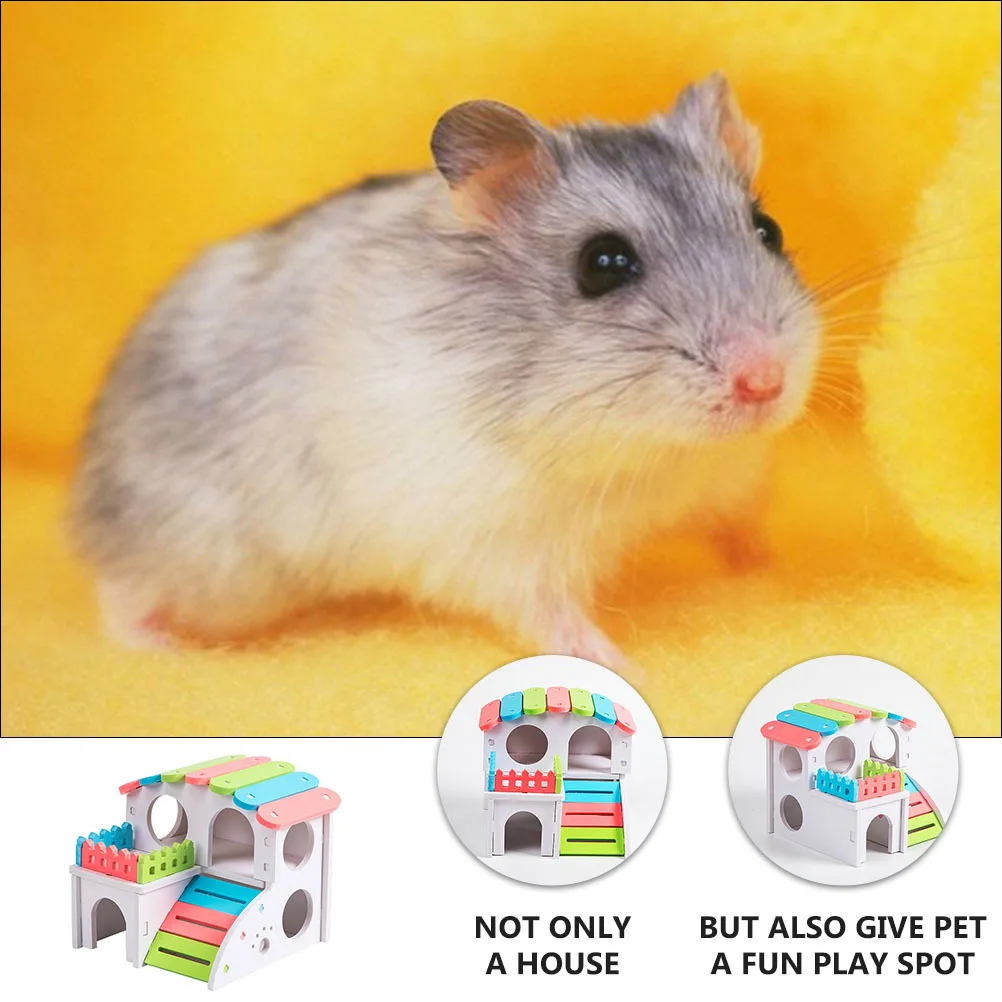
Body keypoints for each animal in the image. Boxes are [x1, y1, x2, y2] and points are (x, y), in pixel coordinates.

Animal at [70, 72, 820, 666]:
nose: (765, 382)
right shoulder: (500, 543)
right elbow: (551, 615)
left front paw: (772, 568)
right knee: (119, 588)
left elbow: (739, 526)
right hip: (207, 560)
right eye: (602, 264)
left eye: (770, 230)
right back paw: (158, 647)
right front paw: (628, 666)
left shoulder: (728, 478)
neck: (655, 453)